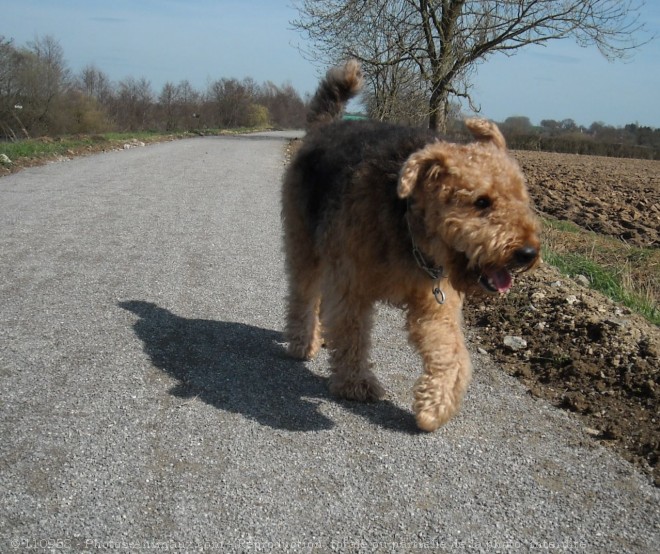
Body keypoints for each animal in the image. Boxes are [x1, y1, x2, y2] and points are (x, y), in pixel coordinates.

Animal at [282, 61, 540, 432]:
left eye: (522, 197)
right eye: (482, 201)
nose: (528, 253)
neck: (410, 226)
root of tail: (324, 127)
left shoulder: (435, 303)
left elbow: (451, 353)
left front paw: (435, 407)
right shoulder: (351, 287)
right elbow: (353, 336)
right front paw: (356, 384)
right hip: (305, 246)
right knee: (303, 298)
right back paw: (303, 342)